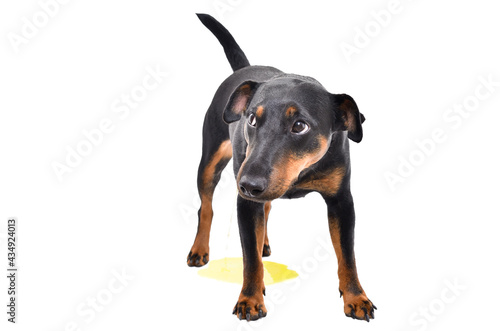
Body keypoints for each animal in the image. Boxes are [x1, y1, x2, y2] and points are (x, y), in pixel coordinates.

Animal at [188, 14, 376, 322]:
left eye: (300, 125)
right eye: (251, 119)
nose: (247, 184)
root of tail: (245, 69)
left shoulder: (341, 201)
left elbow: (347, 255)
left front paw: (356, 298)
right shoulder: (245, 202)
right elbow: (249, 258)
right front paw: (250, 300)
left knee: (266, 208)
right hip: (210, 161)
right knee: (206, 207)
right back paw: (199, 249)